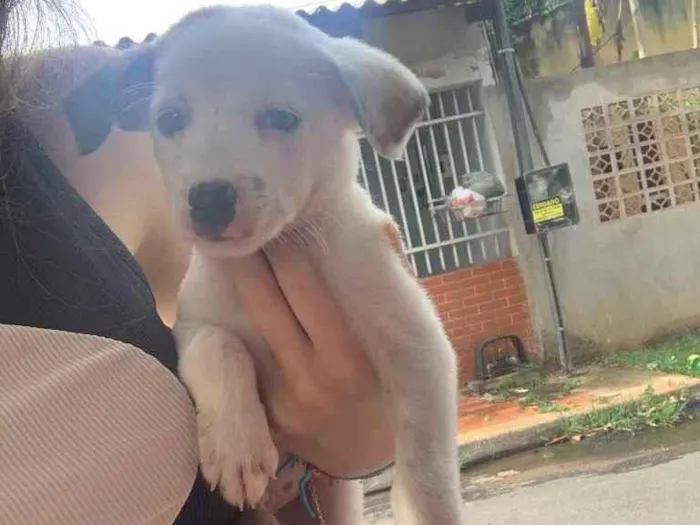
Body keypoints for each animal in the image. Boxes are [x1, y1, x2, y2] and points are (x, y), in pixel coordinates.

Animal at [64, 5, 460, 524]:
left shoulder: (417, 345)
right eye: (170, 119)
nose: (209, 200)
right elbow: (219, 346)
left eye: (281, 117)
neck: (269, 254)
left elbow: (427, 471)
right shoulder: (191, 328)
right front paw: (236, 448)